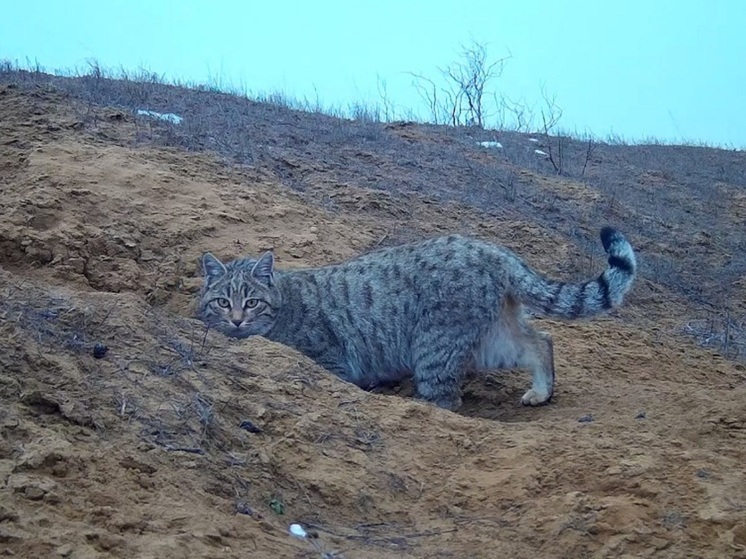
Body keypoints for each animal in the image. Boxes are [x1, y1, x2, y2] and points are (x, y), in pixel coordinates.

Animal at [198, 226, 632, 412]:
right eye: (221, 302)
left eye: (252, 302)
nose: (236, 321)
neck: (285, 302)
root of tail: (492, 249)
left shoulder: (329, 359)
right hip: (493, 339)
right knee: (541, 340)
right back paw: (541, 391)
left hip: (435, 345)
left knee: (447, 399)